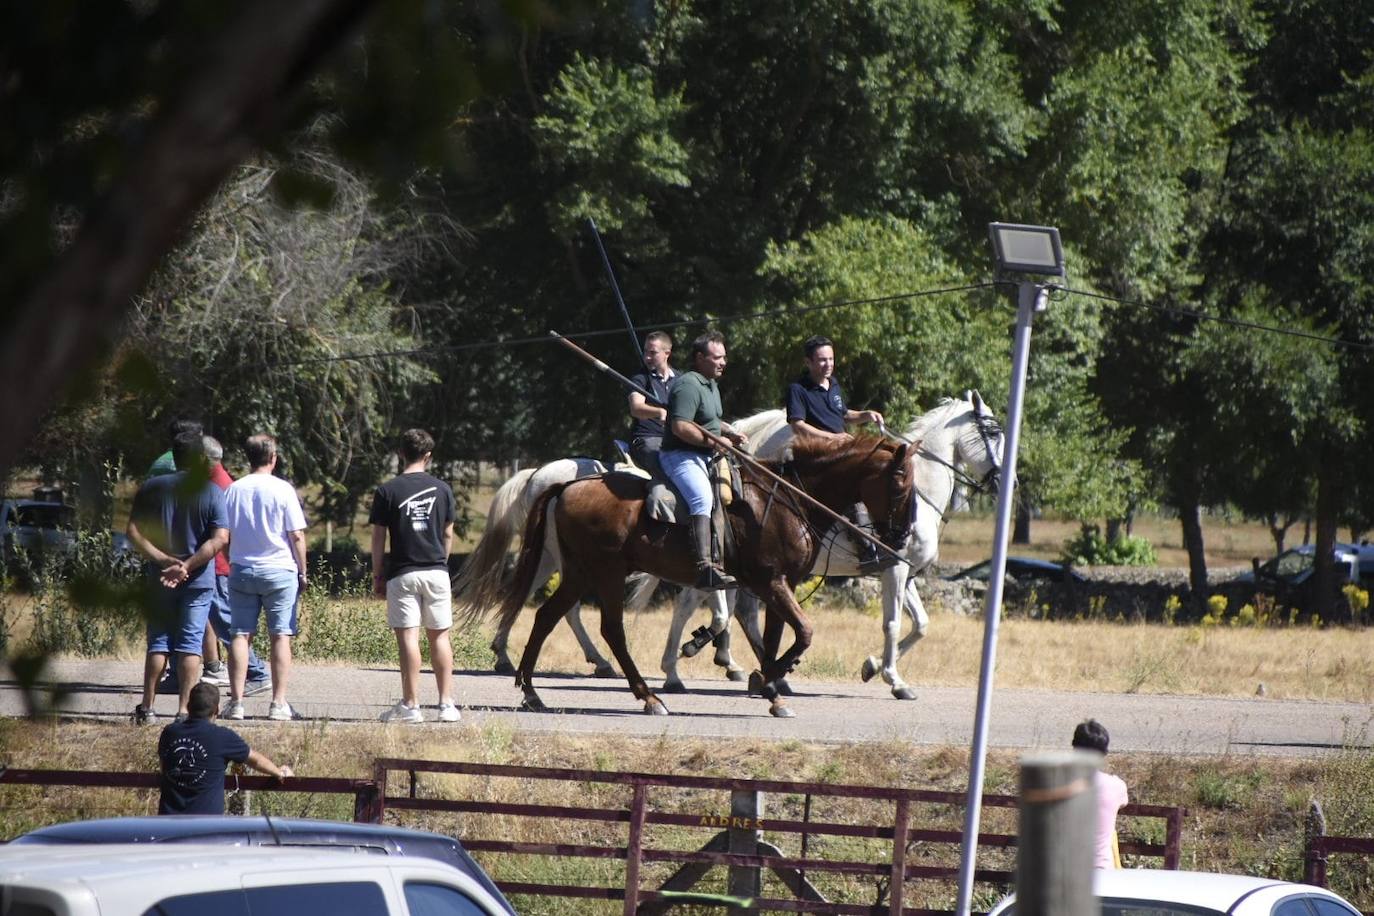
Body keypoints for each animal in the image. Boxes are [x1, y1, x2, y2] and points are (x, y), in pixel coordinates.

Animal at [456, 455, 747, 683]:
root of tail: (538, 474)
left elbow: (725, 613)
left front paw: (722, 660)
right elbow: (716, 613)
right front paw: (688, 653)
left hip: (549, 558)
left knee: (523, 595)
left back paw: (504, 654)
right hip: (568, 562)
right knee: (564, 608)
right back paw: (598, 661)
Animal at [491, 433, 912, 719]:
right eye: (898, 483)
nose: (901, 538)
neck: (788, 499)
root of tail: (566, 485)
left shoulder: (780, 584)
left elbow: (775, 637)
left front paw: (771, 688)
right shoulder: (770, 582)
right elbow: (803, 632)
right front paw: (763, 678)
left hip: (581, 573)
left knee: (547, 617)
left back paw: (532, 693)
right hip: (605, 572)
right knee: (610, 629)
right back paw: (647, 697)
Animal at [637, 395, 1005, 703]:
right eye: (994, 433)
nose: (1006, 481)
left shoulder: (904, 571)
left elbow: (921, 625)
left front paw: (872, 666)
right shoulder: (896, 570)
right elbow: (893, 624)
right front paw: (893, 679)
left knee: (727, 609)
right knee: (696, 605)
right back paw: (684, 669)